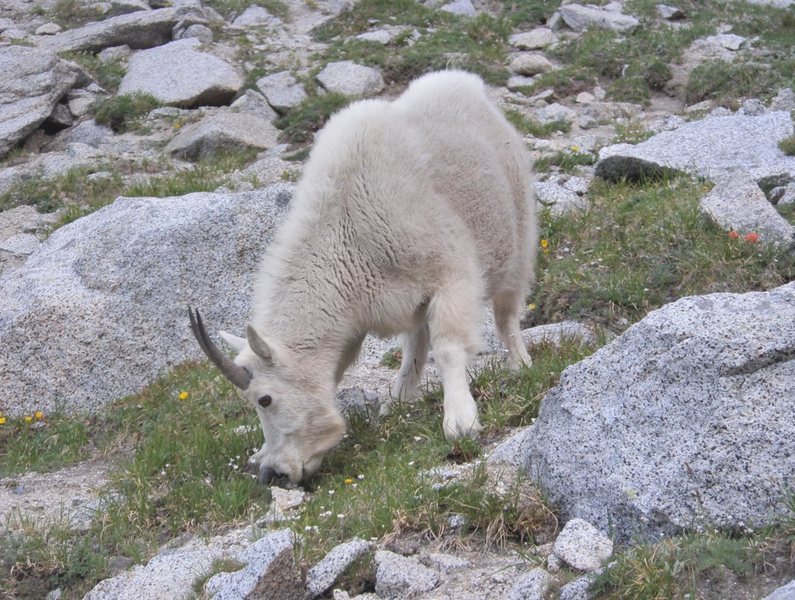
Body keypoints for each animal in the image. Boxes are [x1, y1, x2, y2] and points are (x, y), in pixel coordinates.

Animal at [191, 69, 540, 482]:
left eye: (264, 398)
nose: (275, 473)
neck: (347, 235)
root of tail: (468, 84)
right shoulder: (356, 319)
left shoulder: (450, 273)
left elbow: (449, 346)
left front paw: (460, 422)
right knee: (416, 341)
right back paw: (399, 400)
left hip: (516, 235)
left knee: (506, 314)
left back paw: (520, 364)